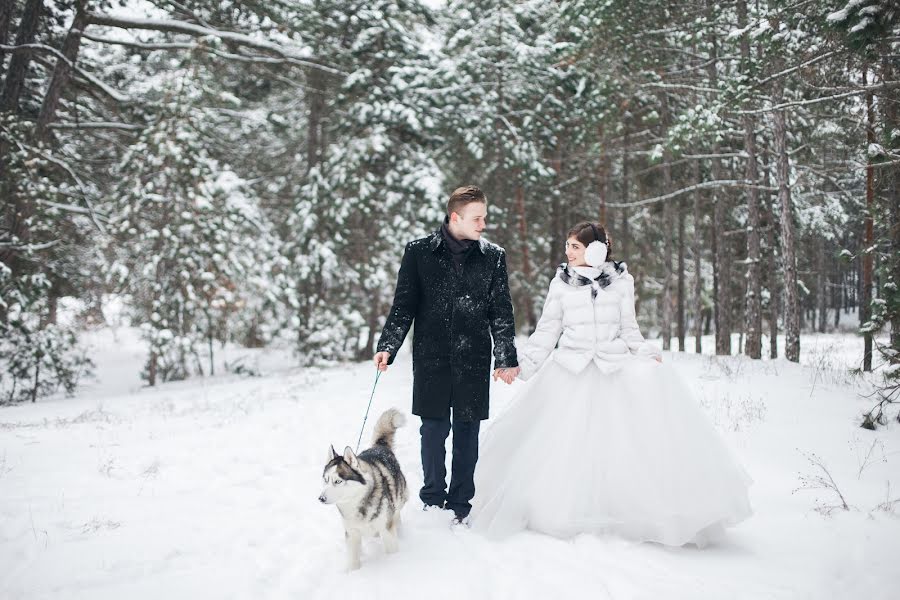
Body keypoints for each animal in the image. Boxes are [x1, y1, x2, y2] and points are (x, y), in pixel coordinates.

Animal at [318, 408, 410, 572]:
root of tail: (379, 447)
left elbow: (392, 549)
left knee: (397, 514)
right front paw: (354, 573)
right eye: (326, 480)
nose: (321, 498)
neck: (356, 503)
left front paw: (394, 563)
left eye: (338, 481)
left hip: (399, 498)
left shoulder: (387, 530)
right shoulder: (352, 533)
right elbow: (353, 561)